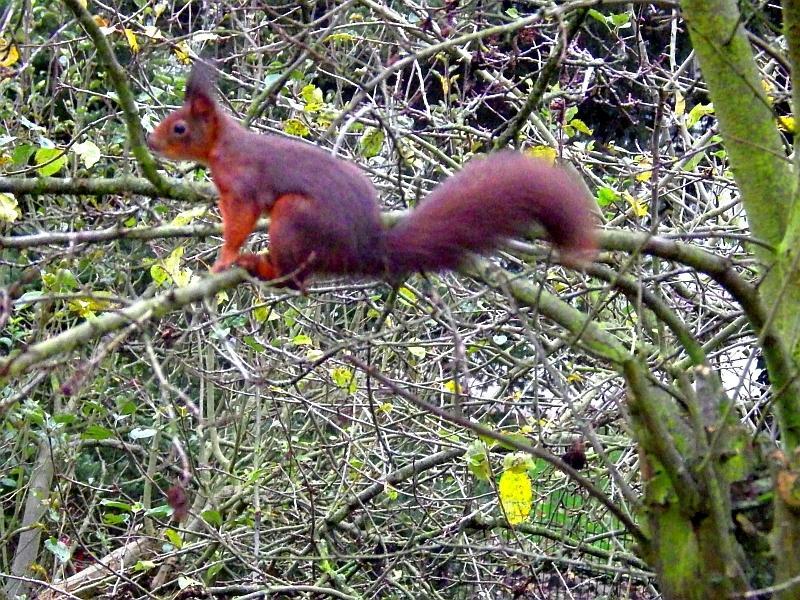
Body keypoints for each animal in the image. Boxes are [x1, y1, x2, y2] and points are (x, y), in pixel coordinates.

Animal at [147, 62, 596, 288]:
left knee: (294, 279)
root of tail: (363, 251)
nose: (150, 142)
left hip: (296, 218)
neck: (222, 149)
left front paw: (223, 260)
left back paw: (265, 268)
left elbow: (240, 222)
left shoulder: (243, 188)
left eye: (179, 128)